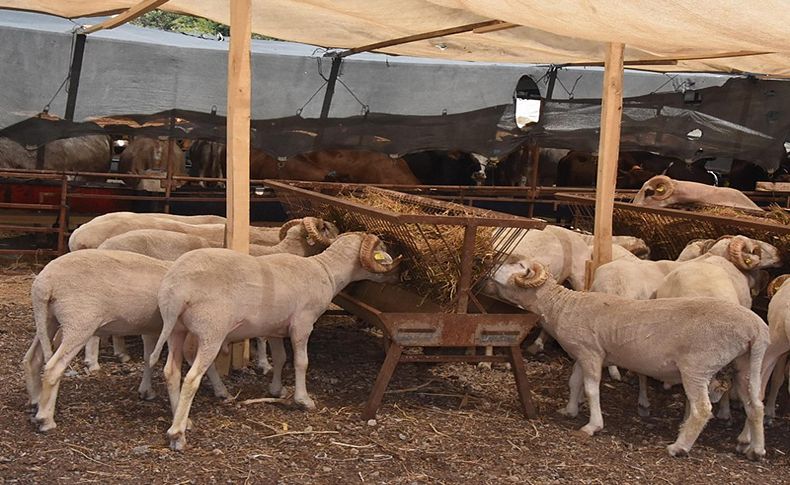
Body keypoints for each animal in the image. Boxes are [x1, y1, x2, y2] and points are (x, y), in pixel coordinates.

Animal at [150, 232, 402, 450]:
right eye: (381, 247)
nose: (398, 275)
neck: (326, 271)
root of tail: (176, 290)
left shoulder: (275, 328)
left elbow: (280, 358)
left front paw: (276, 389)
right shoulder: (302, 324)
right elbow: (301, 362)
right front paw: (303, 400)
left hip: (177, 330)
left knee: (171, 371)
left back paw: (184, 418)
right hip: (211, 330)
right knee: (192, 378)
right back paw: (177, 434)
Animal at [486, 258, 772, 458]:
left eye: (519, 265)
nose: (491, 263)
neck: (562, 305)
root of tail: (756, 327)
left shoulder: (591, 353)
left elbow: (591, 389)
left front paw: (592, 426)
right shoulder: (582, 352)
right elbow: (574, 382)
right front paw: (569, 410)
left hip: (698, 367)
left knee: (702, 409)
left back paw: (679, 447)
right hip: (743, 364)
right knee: (755, 405)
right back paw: (755, 450)